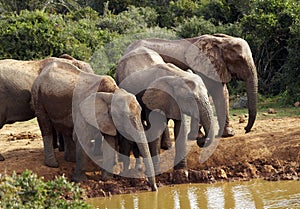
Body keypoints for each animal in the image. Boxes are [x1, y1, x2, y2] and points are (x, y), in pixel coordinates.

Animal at [30, 59, 158, 190]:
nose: (154, 188)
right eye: (123, 117)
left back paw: (71, 160)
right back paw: (53, 164)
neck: (112, 92)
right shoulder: (83, 109)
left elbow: (109, 140)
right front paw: (80, 180)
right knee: (46, 126)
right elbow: (82, 137)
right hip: (37, 96)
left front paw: (107, 179)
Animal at [123, 32, 258, 137]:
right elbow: (216, 93)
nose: (246, 129)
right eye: (239, 59)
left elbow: (223, 93)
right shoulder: (203, 66)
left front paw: (228, 134)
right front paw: (198, 135)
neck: (221, 41)